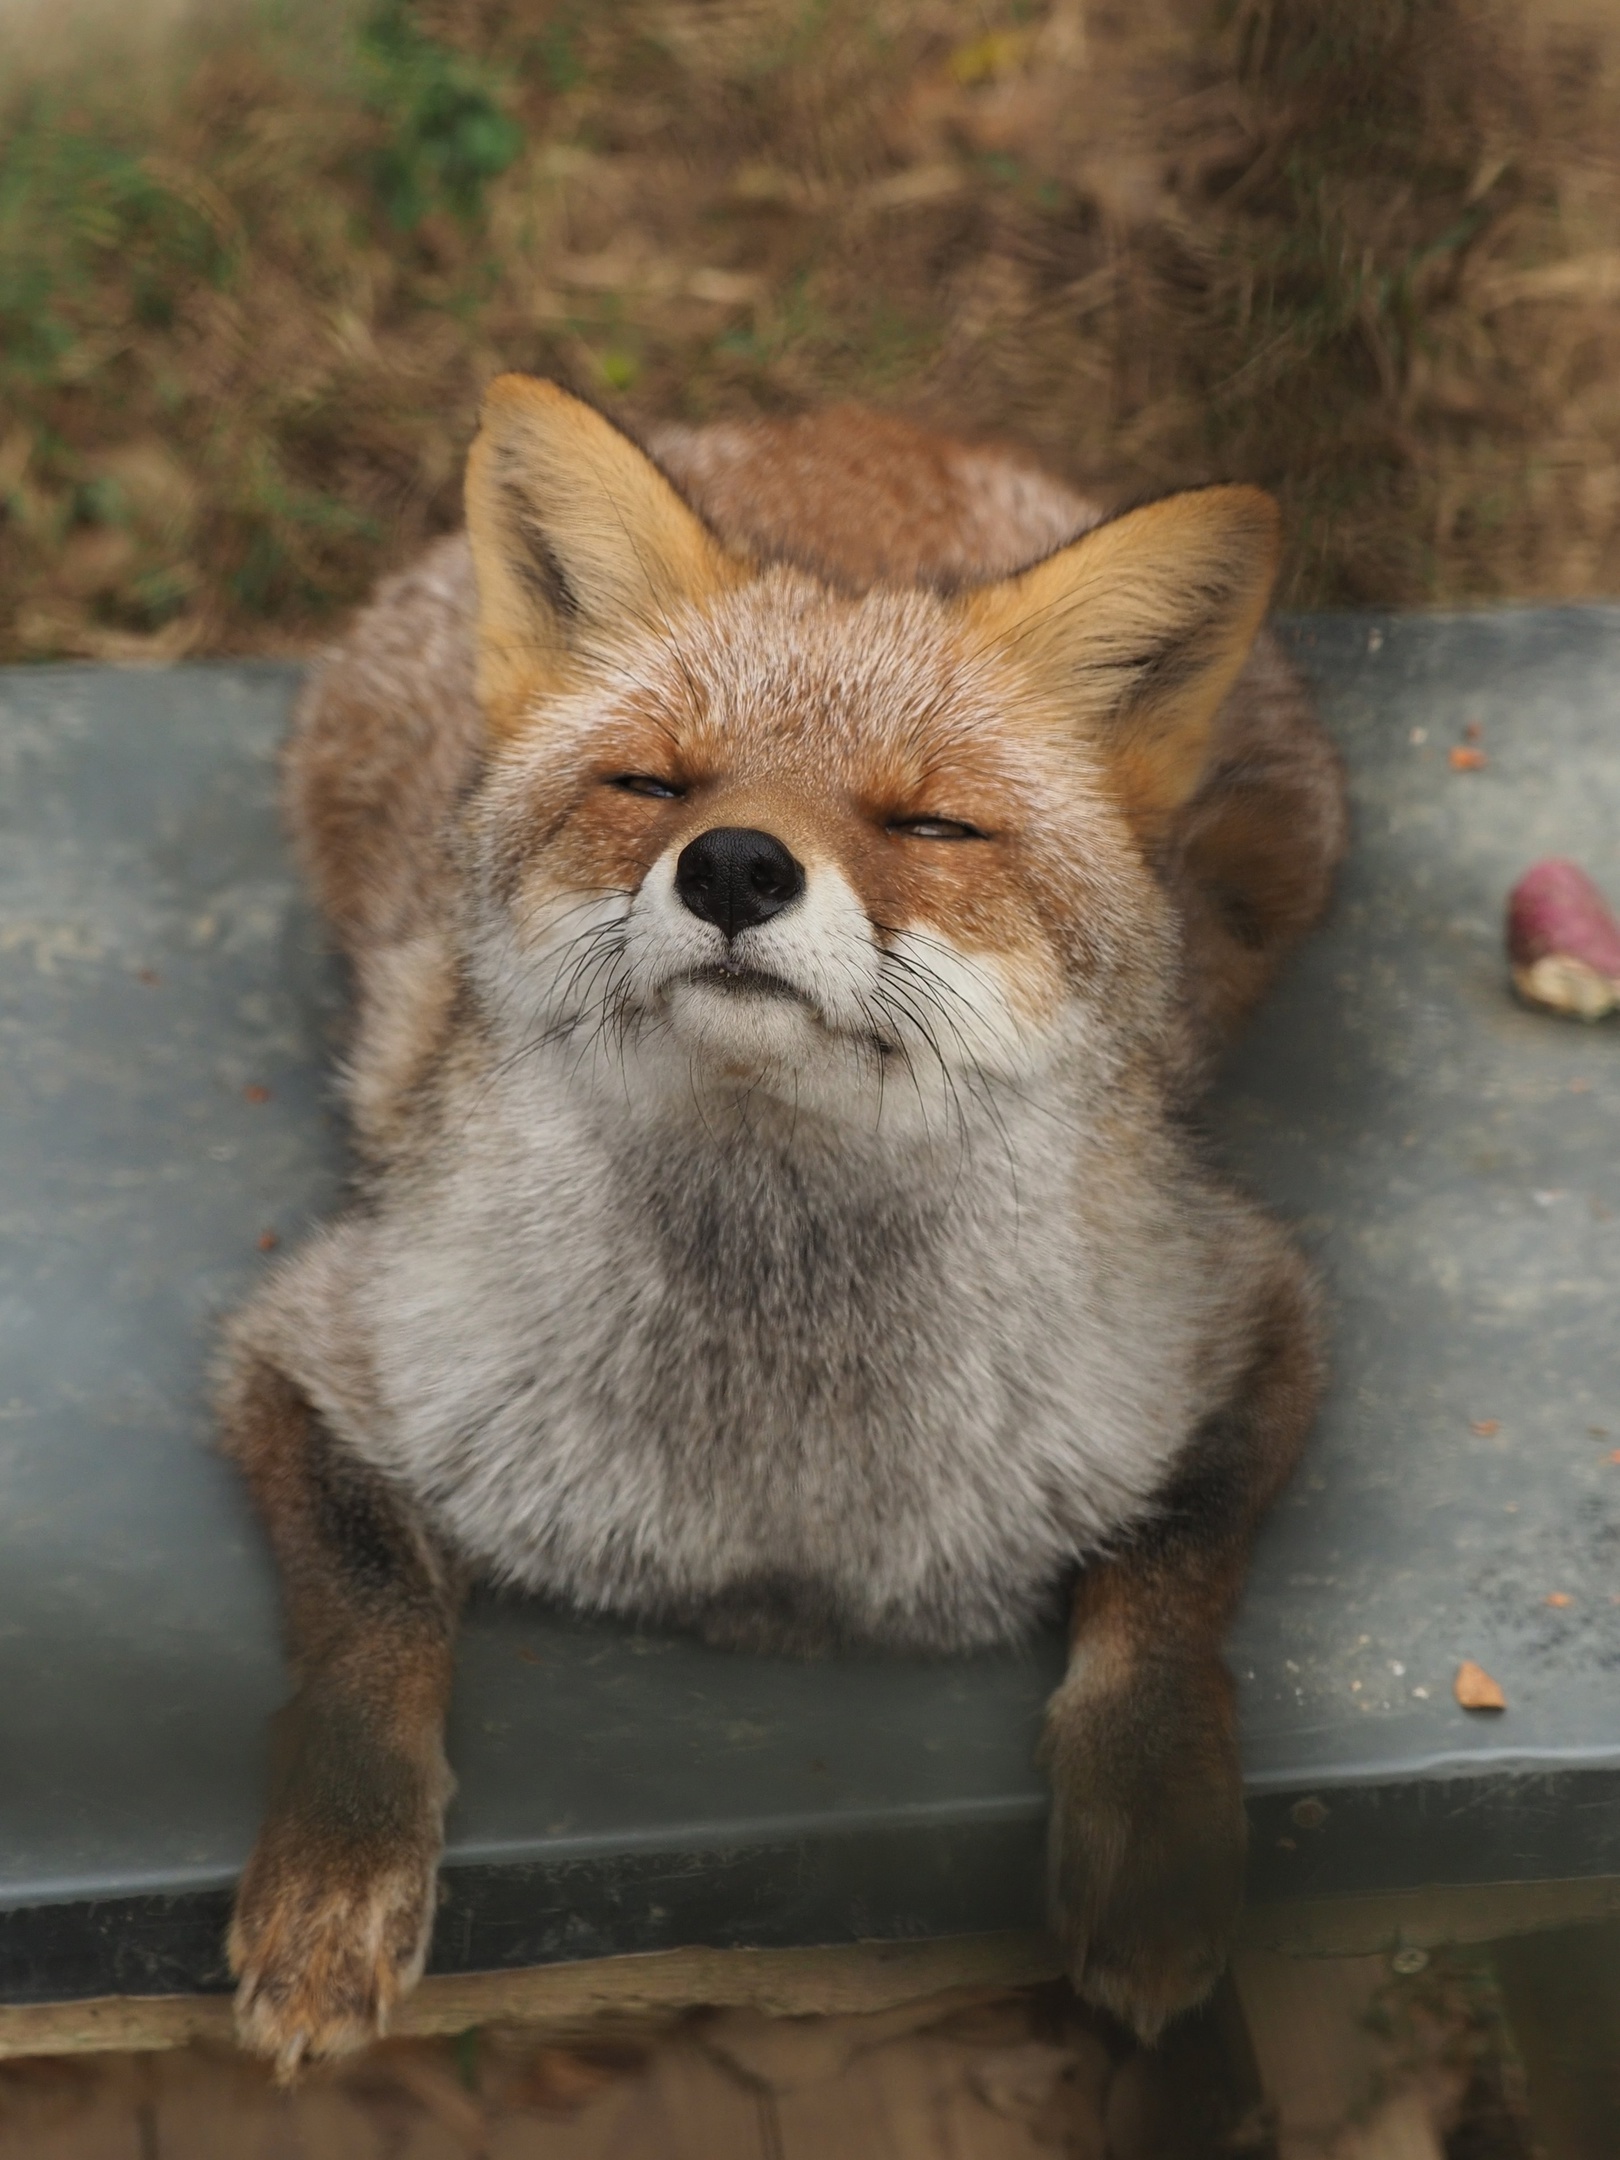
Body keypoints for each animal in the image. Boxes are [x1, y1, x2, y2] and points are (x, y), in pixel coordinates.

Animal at [222, 375, 1347, 2073]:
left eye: (932, 825)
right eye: (653, 786)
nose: (739, 865)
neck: (776, 1463)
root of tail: (852, 424)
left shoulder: (1241, 1316)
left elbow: (1165, 1600)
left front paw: (1153, 1849)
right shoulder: (316, 1344)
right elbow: (368, 1616)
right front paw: (336, 1875)